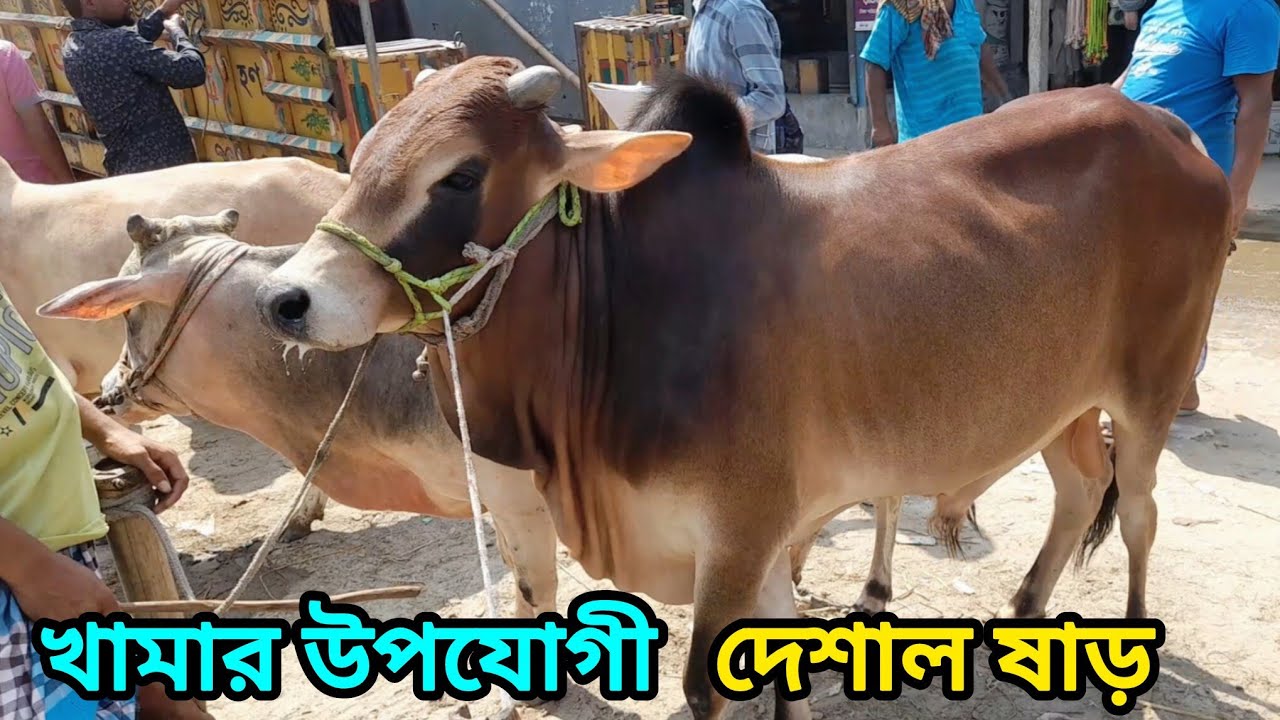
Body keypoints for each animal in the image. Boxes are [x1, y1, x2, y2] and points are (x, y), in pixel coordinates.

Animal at [251, 57, 1231, 719]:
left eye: (460, 174)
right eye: (361, 155)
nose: (285, 300)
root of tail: (1160, 124)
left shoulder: (740, 526)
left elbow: (706, 684)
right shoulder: (756, 534)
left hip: (1150, 387)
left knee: (1138, 512)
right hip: (1064, 400)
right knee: (1080, 488)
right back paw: (1026, 611)